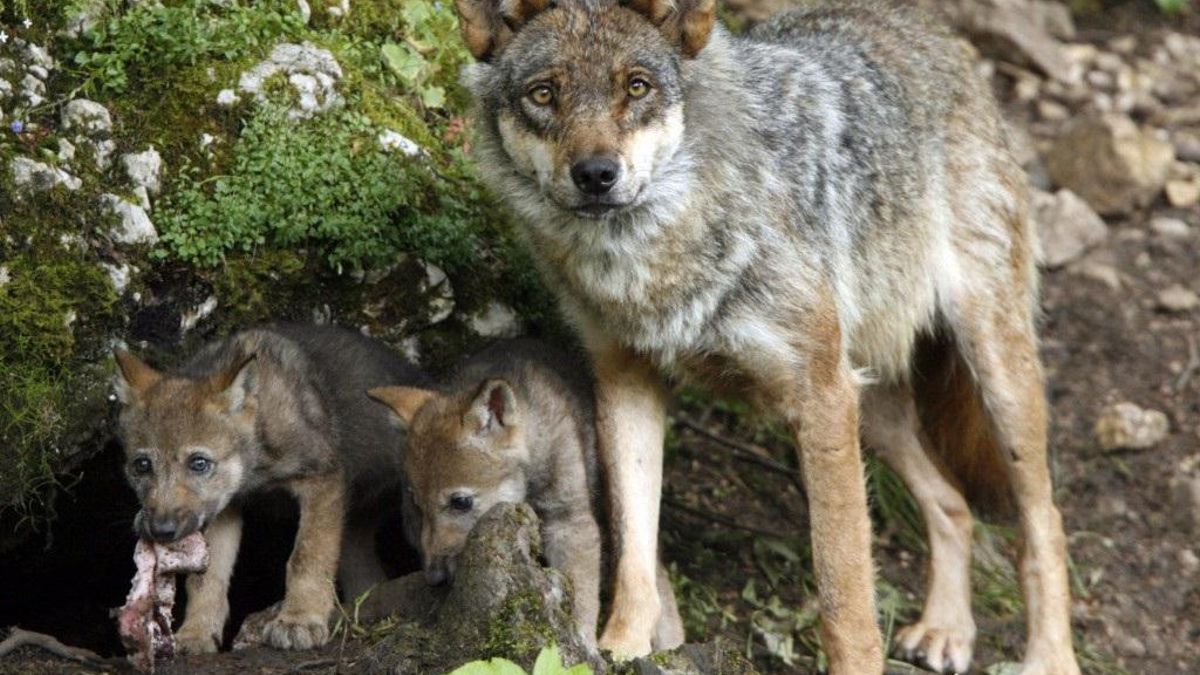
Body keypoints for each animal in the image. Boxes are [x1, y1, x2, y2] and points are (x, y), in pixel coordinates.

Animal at [112, 323, 430, 653]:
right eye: (142, 465)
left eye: (199, 463)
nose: (161, 530)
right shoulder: (223, 508)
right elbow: (206, 578)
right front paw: (196, 633)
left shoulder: (322, 479)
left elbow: (306, 556)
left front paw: (299, 620)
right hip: (355, 529)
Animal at [369, 339, 685, 650]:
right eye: (417, 505)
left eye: (461, 502)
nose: (434, 578)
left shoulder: (570, 522)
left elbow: (580, 595)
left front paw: (582, 644)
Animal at [451, 1, 1081, 673]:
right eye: (544, 94)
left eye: (637, 87)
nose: (596, 174)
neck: (652, 262)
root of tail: (930, 29)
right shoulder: (625, 380)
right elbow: (635, 549)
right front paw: (620, 647)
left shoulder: (820, 399)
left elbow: (843, 592)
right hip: (871, 407)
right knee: (952, 504)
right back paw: (946, 629)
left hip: (992, 375)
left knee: (1044, 521)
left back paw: (1048, 656)